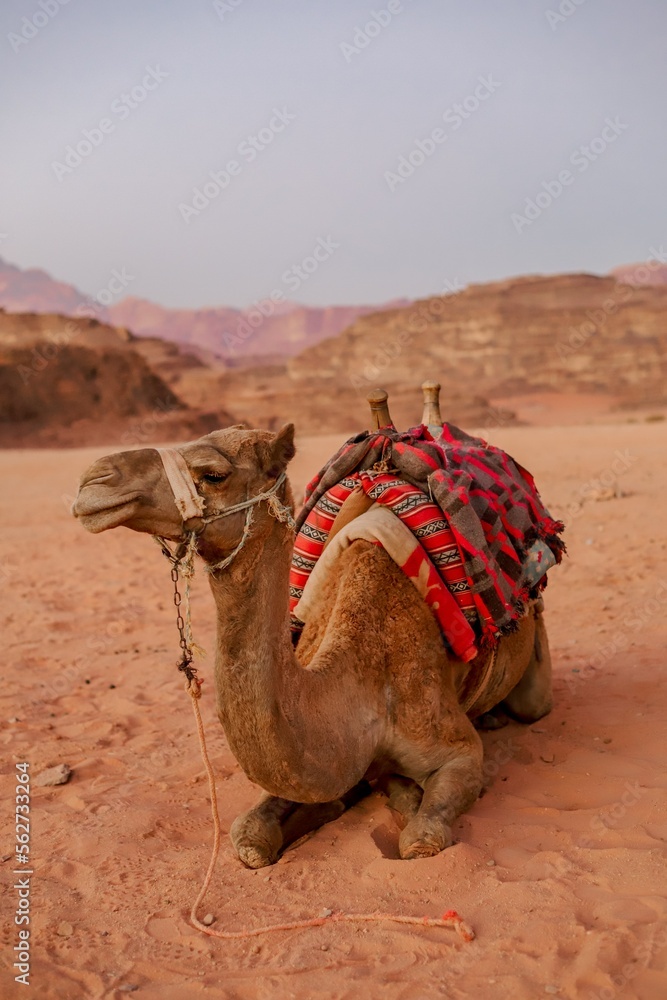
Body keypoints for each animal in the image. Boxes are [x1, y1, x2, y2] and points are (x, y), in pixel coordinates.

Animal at [72, 413, 554, 867]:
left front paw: (401, 794)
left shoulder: (457, 752)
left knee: (533, 704)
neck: (360, 686)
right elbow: (250, 838)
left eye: (213, 474)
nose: (94, 478)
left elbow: (420, 838)